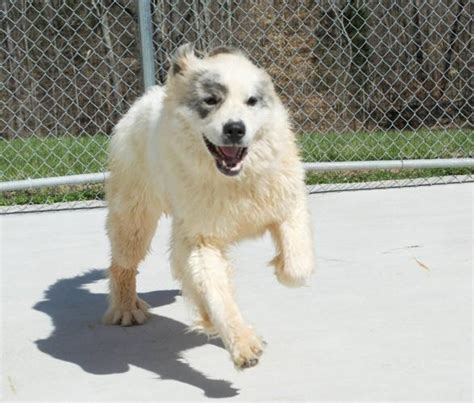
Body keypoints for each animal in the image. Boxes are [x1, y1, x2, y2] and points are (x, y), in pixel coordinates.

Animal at [103, 44, 314, 370]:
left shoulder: (288, 206)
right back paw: (126, 309)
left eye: (251, 101)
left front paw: (280, 268)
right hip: (134, 218)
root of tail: (148, 96)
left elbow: (298, 268)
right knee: (122, 264)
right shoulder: (200, 240)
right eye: (211, 100)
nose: (235, 129)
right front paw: (243, 345)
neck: (235, 181)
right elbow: (217, 294)